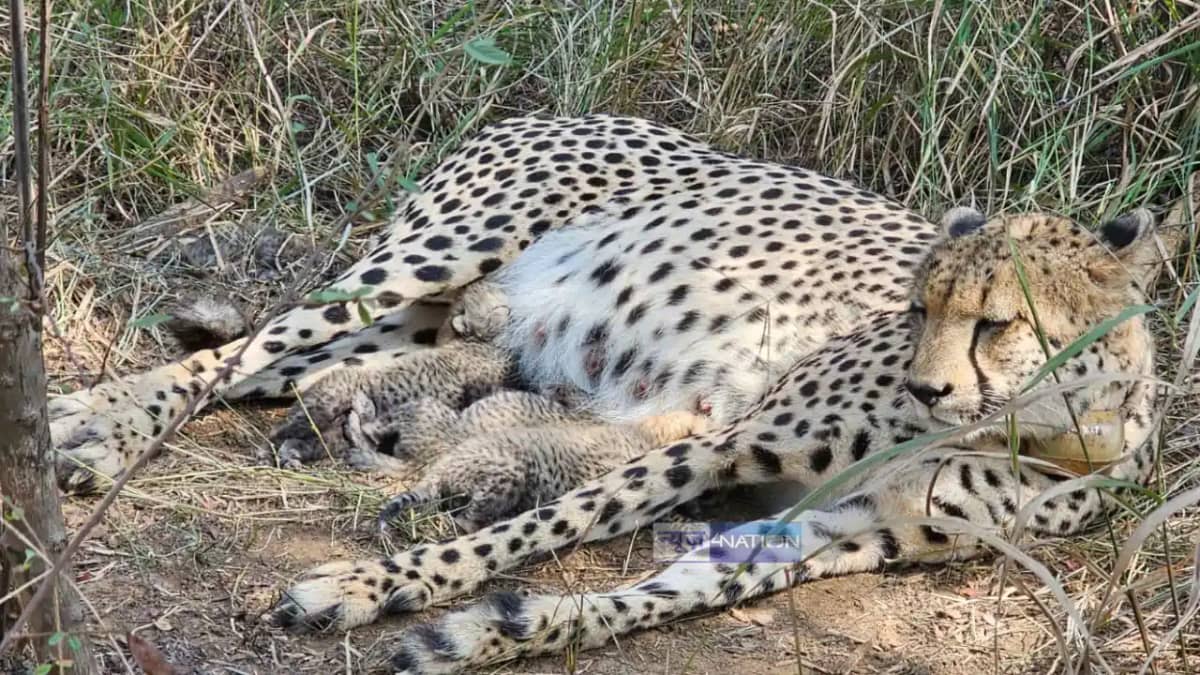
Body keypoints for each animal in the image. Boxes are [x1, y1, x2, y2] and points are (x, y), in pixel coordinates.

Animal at [45, 114, 1172, 674]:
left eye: (997, 322)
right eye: (916, 306)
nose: (926, 382)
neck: (1044, 430)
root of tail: (553, 107)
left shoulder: (840, 532)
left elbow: (653, 594)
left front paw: (489, 634)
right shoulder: (723, 443)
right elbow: (541, 526)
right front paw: (371, 585)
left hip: (427, 322)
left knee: (298, 372)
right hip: (429, 258)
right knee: (242, 349)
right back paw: (92, 426)